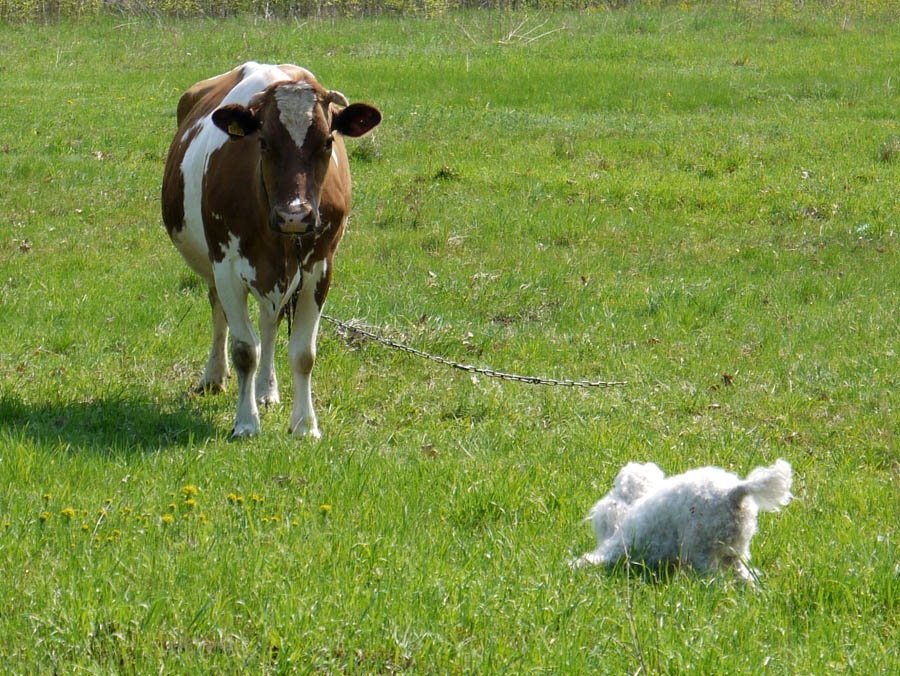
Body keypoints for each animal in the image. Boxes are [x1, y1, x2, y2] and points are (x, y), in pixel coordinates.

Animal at [162, 60, 380, 436]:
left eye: (327, 141)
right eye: (263, 142)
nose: (294, 214)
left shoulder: (319, 267)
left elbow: (303, 353)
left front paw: (305, 425)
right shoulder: (225, 264)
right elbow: (244, 349)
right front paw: (246, 422)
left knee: (269, 323)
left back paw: (267, 389)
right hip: (213, 265)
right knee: (219, 313)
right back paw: (214, 377)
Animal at [572, 460, 792, 588]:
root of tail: (734, 493)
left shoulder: (620, 547)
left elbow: (593, 559)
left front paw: (575, 566)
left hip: (699, 548)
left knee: (714, 579)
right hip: (736, 550)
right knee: (744, 576)